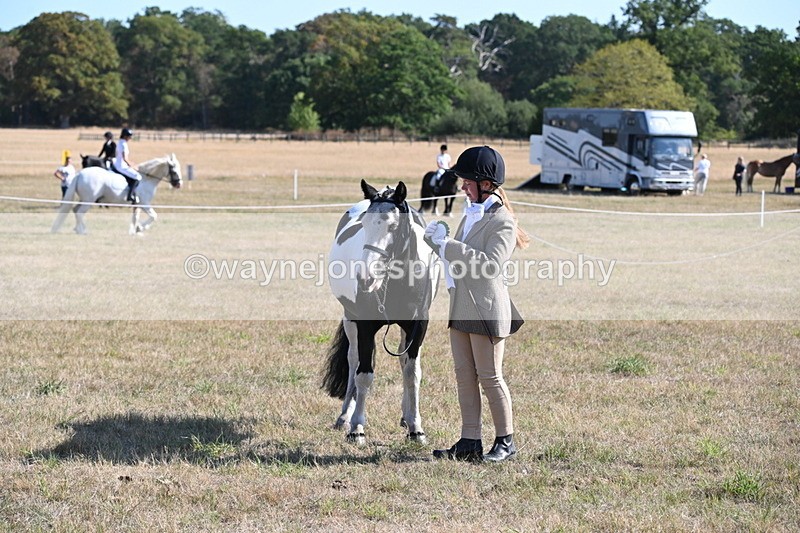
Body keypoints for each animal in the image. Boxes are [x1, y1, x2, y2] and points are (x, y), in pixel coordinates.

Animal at [51, 154, 182, 235]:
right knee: (79, 212)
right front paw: (140, 228)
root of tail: (80, 174)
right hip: (89, 200)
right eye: (174, 171)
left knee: (75, 210)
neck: (147, 179)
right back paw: (83, 231)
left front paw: (134, 231)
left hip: (84, 199)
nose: (179, 184)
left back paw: (78, 229)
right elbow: (154, 216)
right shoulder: (145, 204)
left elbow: (135, 218)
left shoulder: (137, 205)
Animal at [322, 179, 439, 445]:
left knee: (404, 363)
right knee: (353, 359)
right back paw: (345, 416)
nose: (365, 277)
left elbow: (412, 373)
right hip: (350, 319)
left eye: (394, 226)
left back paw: (406, 417)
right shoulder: (364, 326)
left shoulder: (418, 327)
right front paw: (356, 428)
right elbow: (363, 374)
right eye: (364, 224)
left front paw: (416, 427)